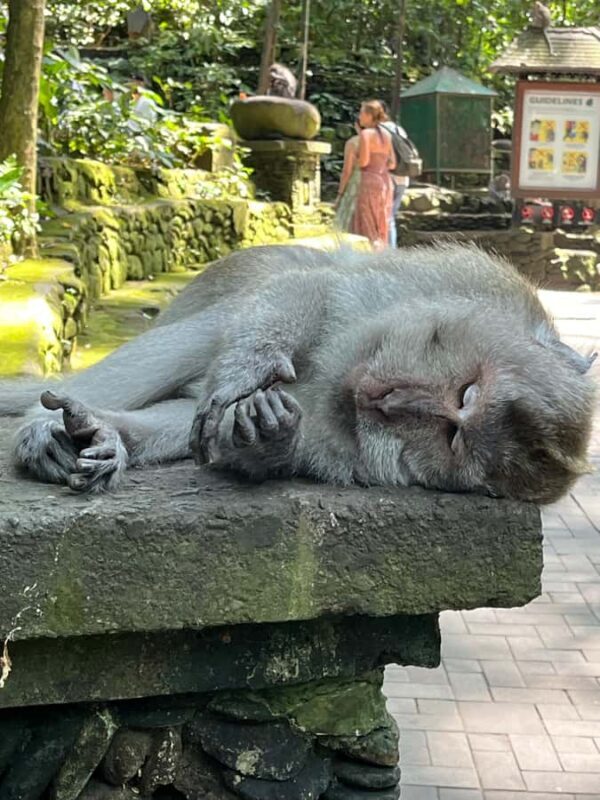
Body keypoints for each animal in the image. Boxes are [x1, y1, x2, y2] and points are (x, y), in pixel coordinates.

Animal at [0, 243, 596, 504]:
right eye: (466, 393)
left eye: (453, 436)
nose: (392, 402)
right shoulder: (455, 281)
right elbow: (315, 290)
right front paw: (247, 370)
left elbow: (238, 440)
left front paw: (268, 440)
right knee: (231, 314)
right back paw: (38, 429)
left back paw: (106, 435)